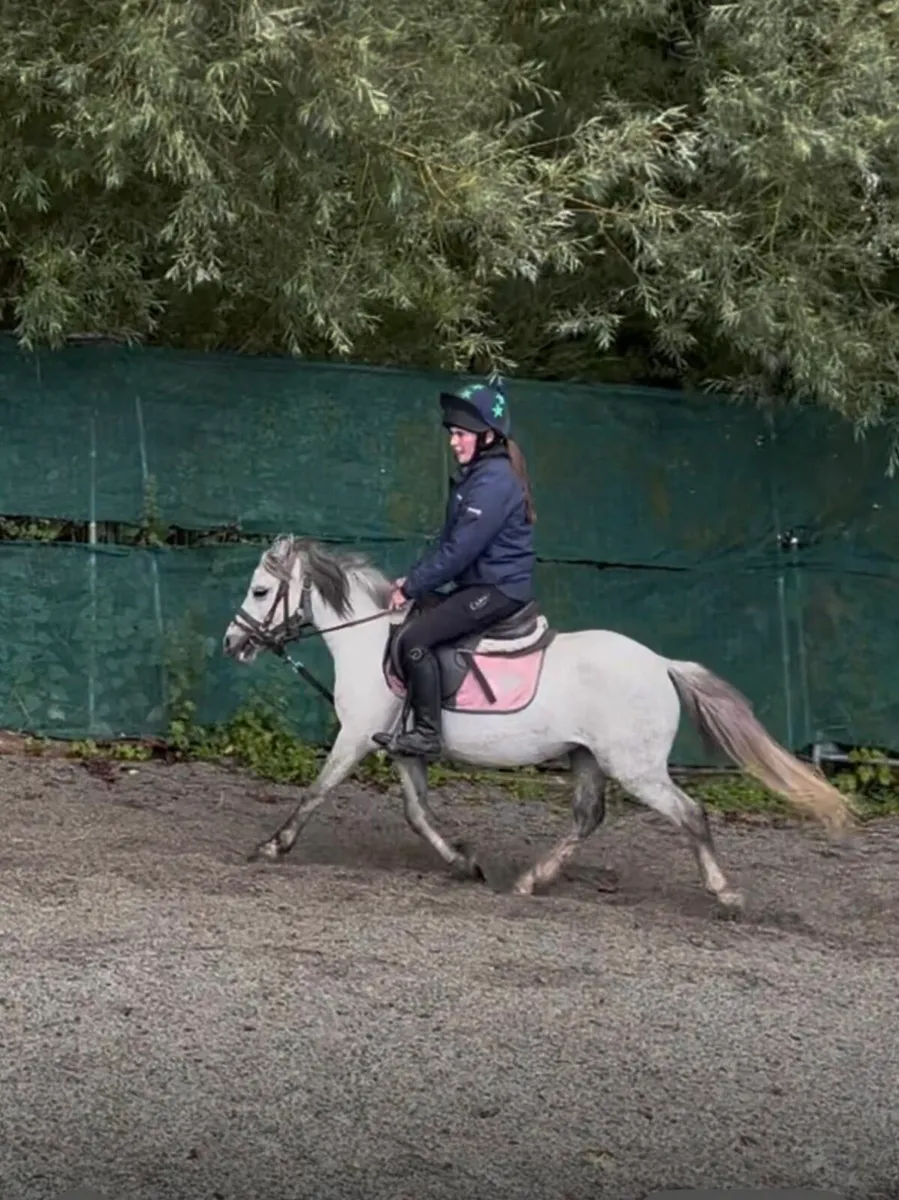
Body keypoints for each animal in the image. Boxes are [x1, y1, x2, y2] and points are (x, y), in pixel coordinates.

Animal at [222, 534, 855, 910]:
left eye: (260, 590)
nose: (233, 643)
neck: (370, 638)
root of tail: (661, 664)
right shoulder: (401, 749)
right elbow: (419, 814)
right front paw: (464, 862)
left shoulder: (354, 738)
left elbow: (316, 791)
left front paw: (271, 846)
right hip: (588, 758)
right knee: (588, 818)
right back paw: (532, 880)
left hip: (636, 767)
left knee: (691, 814)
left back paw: (723, 892)